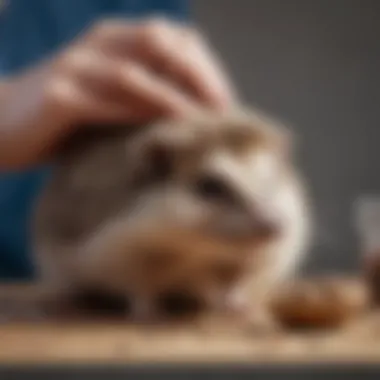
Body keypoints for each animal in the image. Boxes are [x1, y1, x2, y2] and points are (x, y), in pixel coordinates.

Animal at [31, 107, 312, 326]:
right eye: (210, 186)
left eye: (273, 178)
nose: (276, 227)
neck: (197, 245)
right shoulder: (119, 251)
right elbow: (140, 287)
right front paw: (151, 314)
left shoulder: (266, 257)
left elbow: (242, 280)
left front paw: (236, 306)